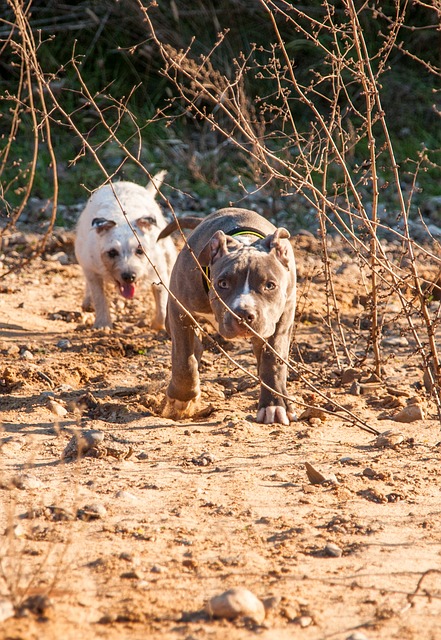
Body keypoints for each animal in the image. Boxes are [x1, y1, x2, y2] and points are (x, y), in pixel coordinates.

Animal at [75, 170, 177, 330]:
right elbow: (99, 296)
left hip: (169, 252)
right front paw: (103, 324)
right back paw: (88, 301)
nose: (129, 276)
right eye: (112, 252)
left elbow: (162, 299)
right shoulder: (91, 268)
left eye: (140, 251)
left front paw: (159, 324)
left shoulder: (158, 271)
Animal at [156, 209, 298, 424]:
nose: (243, 314)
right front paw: (182, 399)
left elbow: (273, 360)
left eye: (270, 285)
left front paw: (274, 405)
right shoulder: (179, 310)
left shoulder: (283, 316)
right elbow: (183, 359)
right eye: (222, 283)